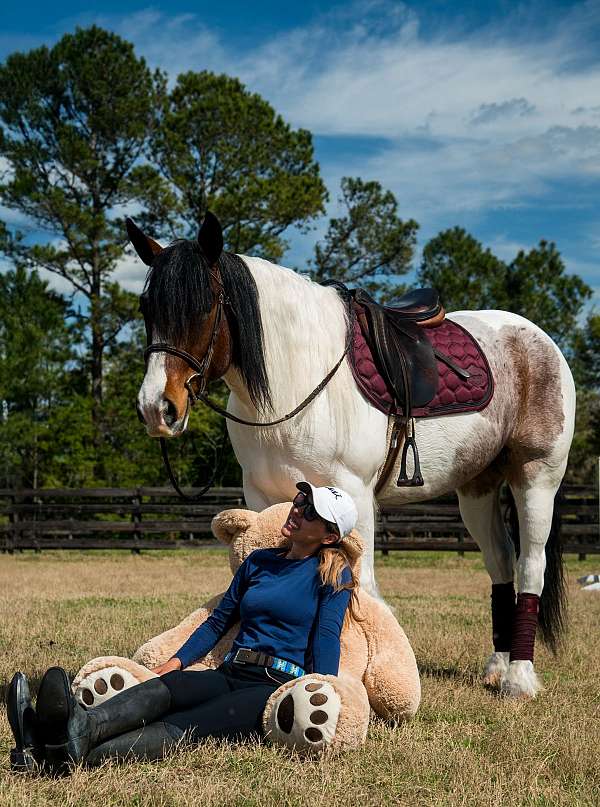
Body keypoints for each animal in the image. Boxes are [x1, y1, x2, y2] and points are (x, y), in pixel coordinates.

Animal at [130, 215, 576, 700]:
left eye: (204, 306)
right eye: (146, 307)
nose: (157, 408)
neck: (298, 377)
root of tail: (540, 342)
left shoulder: (353, 495)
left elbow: (363, 588)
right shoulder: (263, 496)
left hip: (536, 477)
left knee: (530, 565)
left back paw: (519, 678)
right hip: (477, 488)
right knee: (500, 563)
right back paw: (496, 667)